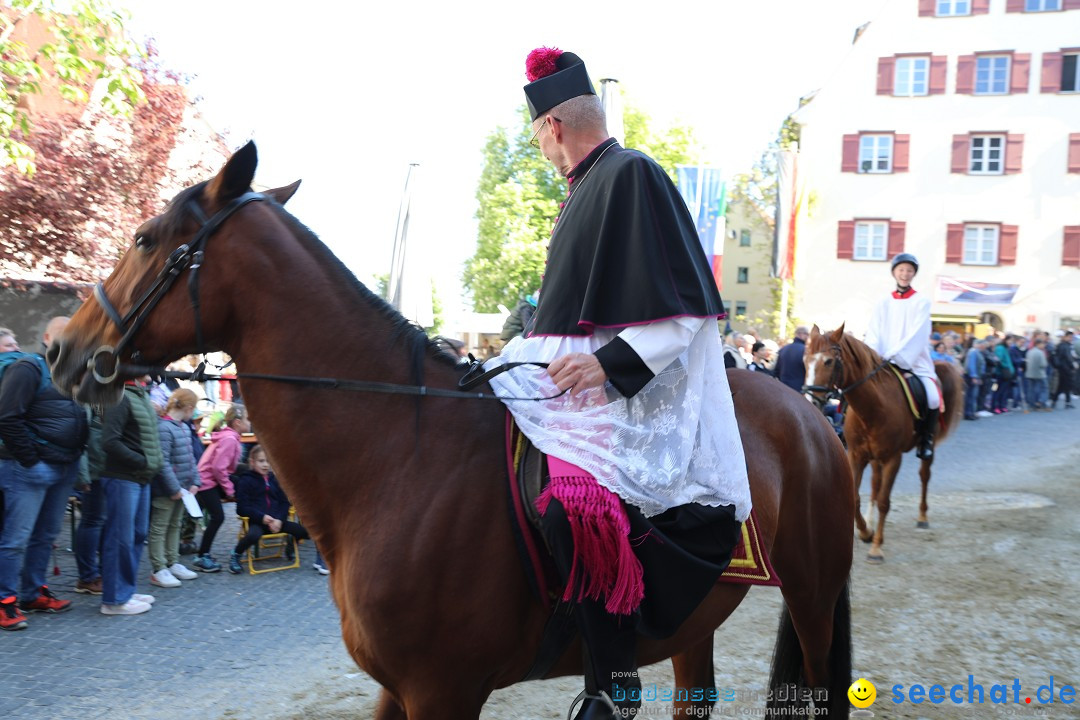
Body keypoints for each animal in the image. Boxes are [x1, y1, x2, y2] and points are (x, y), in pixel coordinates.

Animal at [50, 142, 855, 720]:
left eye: (145, 237)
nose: (62, 347)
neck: (399, 460)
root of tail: (811, 416)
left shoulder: (445, 691)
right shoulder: (396, 688)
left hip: (813, 595)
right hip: (694, 619)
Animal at [803, 323, 963, 565]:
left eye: (828, 361)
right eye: (805, 360)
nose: (809, 402)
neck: (873, 408)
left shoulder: (892, 459)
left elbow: (884, 502)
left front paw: (876, 548)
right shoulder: (856, 455)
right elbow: (856, 496)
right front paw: (865, 532)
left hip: (925, 448)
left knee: (924, 475)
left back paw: (922, 516)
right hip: (874, 458)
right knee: (875, 484)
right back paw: (869, 524)